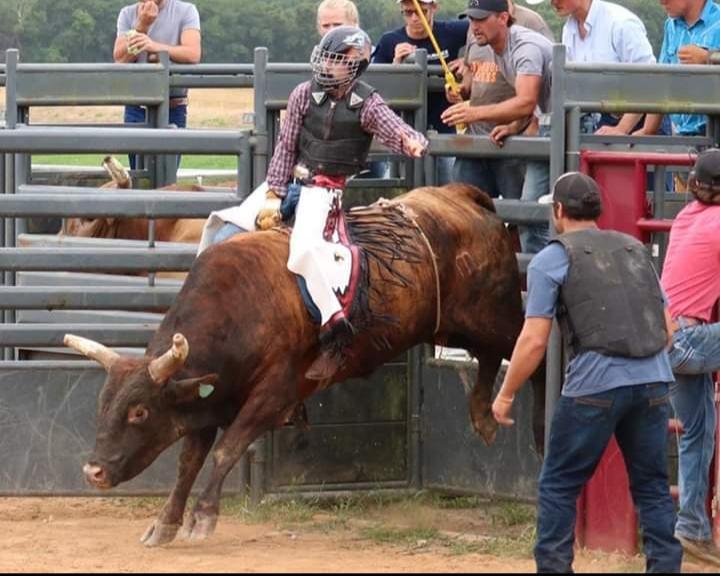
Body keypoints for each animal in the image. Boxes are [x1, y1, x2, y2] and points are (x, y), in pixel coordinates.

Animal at [67, 182, 544, 548]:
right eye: (103, 405)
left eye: (139, 412)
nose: (93, 471)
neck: (242, 306)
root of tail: (462, 196)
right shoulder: (206, 398)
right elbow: (189, 460)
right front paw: (165, 524)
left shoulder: (274, 393)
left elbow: (227, 449)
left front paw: (203, 517)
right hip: (454, 325)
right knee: (489, 357)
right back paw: (482, 415)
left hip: (494, 315)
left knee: (527, 353)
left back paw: (537, 439)